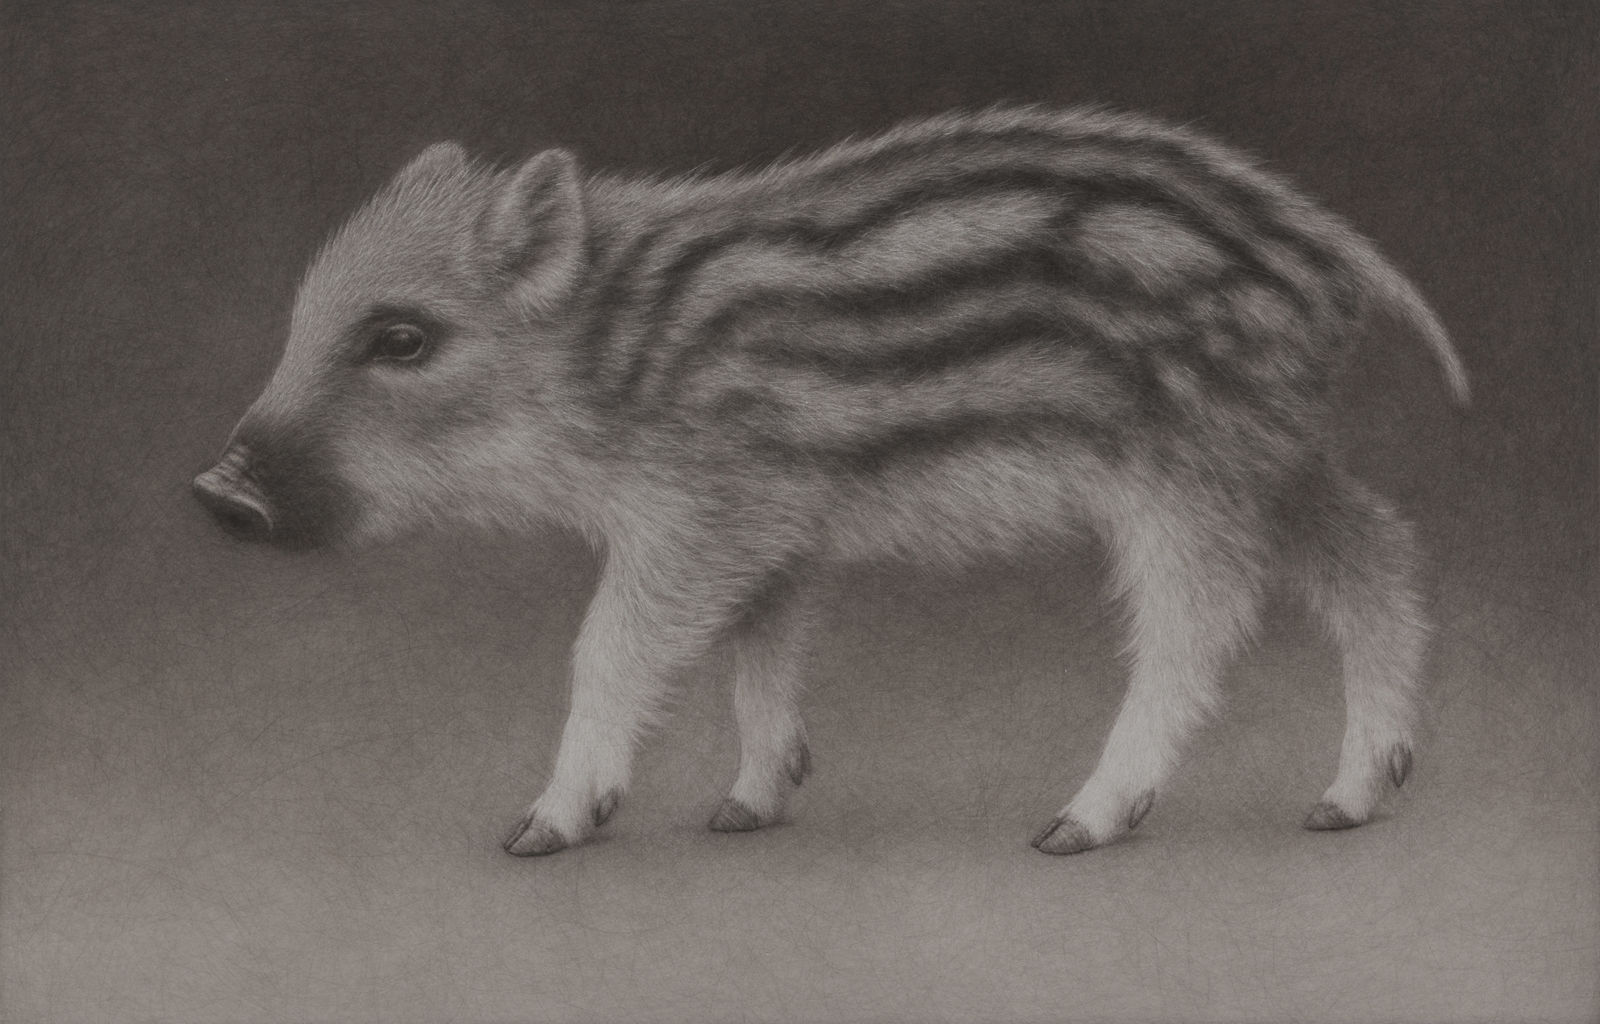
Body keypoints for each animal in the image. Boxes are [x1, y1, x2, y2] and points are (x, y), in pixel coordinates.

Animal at [193, 105, 1468, 856]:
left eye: (402, 339)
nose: (218, 491)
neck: (611, 355)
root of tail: (1331, 254)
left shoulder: (698, 515)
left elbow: (609, 649)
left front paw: (544, 826)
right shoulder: (779, 530)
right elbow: (761, 656)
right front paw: (746, 806)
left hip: (1188, 474)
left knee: (1198, 630)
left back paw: (1076, 822)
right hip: (1269, 455)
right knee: (1379, 552)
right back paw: (1349, 798)